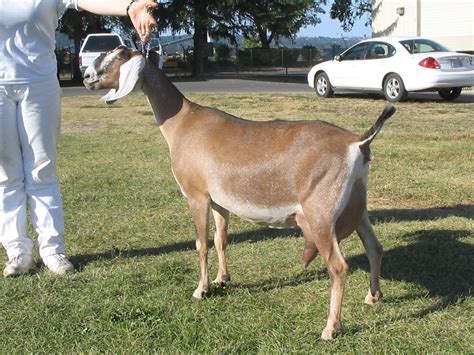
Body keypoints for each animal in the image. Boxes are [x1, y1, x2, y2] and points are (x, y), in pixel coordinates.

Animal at [83, 46, 394, 340]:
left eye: (117, 56)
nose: (87, 77)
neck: (183, 122)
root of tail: (357, 142)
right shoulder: (219, 202)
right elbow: (221, 240)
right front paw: (222, 279)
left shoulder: (196, 195)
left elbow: (201, 244)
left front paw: (201, 290)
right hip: (357, 204)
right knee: (374, 247)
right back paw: (372, 296)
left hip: (321, 213)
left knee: (339, 267)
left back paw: (331, 329)